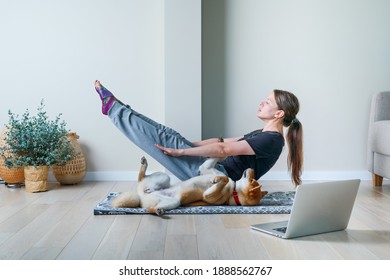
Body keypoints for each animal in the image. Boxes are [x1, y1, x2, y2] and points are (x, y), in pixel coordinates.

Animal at [109, 156, 268, 215]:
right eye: (254, 180)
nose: (252, 168)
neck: (233, 191)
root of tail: (140, 197)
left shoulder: (208, 196)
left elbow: (223, 179)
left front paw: (218, 179)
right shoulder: (205, 167)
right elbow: (216, 163)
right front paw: (222, 145)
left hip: (173, 201)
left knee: (149, 205)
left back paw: (157, 210)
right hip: (165, 180)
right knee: (141, 178)